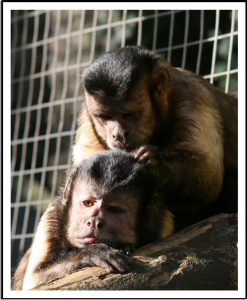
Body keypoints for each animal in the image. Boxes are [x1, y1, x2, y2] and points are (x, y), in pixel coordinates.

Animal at [12, 150, 174, 290]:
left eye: (114, 209)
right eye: (88, 203)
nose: (94, 222)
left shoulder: (163, 220)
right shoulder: (51, 216)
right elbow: (34, 280)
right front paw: (91, 253)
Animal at [73, 45, 237, 230]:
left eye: (129, 114)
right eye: (105, 116)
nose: (119, 134)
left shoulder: (191, 98)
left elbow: (209, 174)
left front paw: (154, 164)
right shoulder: (87, 115)